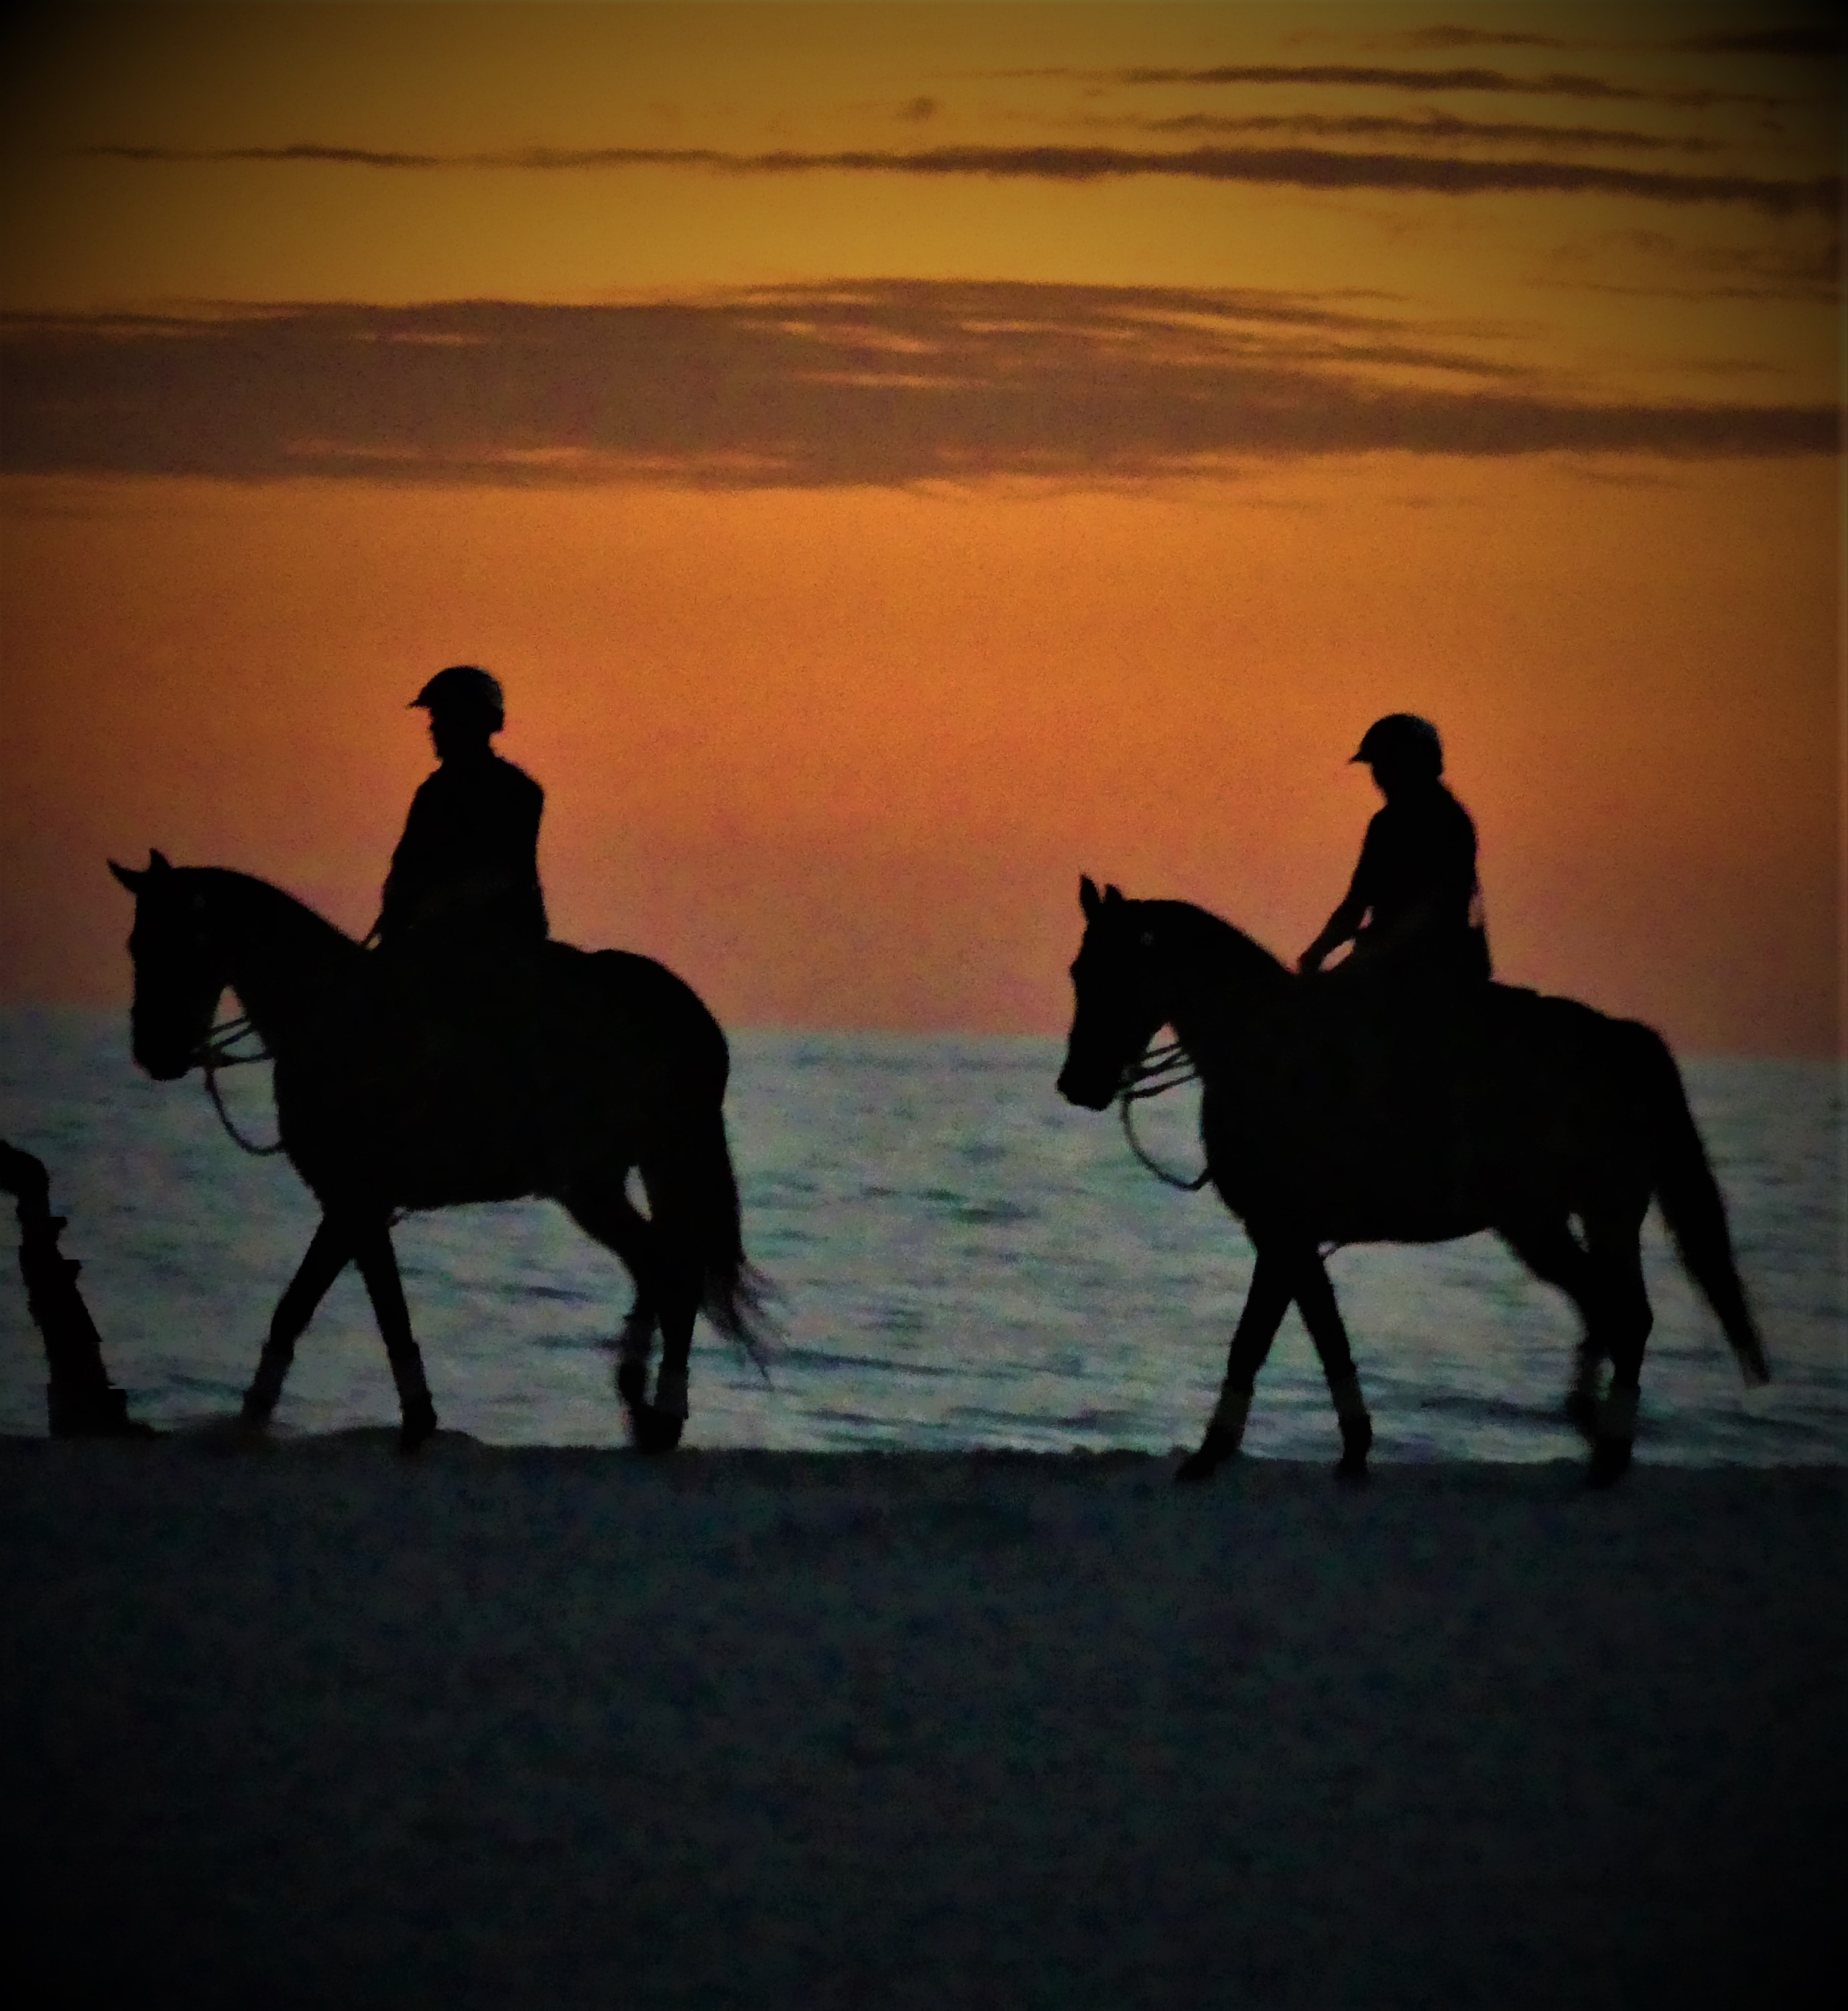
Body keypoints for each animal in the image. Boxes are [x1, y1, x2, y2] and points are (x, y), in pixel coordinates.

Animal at [105, 845, 768, 1448]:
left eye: (183, 942)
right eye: (136, 945)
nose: (155, 1054)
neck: (330, 1019)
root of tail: (690, 1016)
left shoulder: (355, 1201)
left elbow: (330, 1308)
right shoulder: (352, 1205)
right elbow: (352, 1311)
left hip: (656, 1163)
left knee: (676, 1270)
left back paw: (664, 1414)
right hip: (599, 1182)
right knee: (655, 1261)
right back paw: (637, 1398)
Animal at [1054, 873, 1762, 1488]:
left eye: (1112, 972)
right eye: (1077, 972)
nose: (1076, 1084)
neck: (1262, 1051)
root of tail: (1621, 1041)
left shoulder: (1281, 1231)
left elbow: (1253, 1340)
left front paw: (1210, 1454)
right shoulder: (1289, 1237)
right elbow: (1324, 1335)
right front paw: (1352, 1451)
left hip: (1575, 1216)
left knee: (1623, 1313)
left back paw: (1608, 1450)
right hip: (1574, 1218)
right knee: (1612, 1308)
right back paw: (1595, 1432)